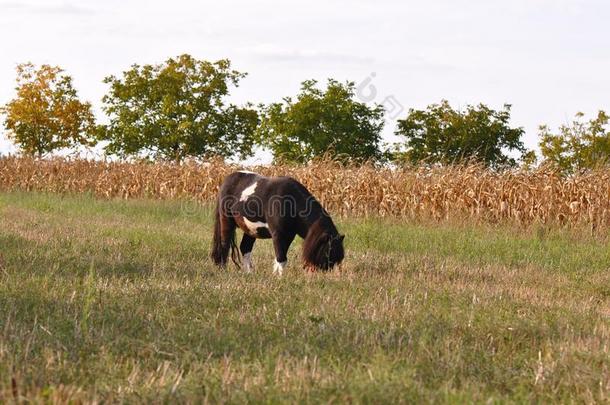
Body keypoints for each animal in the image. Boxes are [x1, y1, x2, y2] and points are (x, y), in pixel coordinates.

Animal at [209, 170, 342, 274]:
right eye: (328, 252)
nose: (320, 274)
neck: (290, 202)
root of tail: (228, 179)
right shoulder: (278, 234)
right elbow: (281, 257)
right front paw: (280, 278)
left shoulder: (289, 235)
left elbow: (282, 257)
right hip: (226, 221)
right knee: (224, 244)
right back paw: (223, 269)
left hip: (251, 230)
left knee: (245, 248)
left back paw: (249, 272)